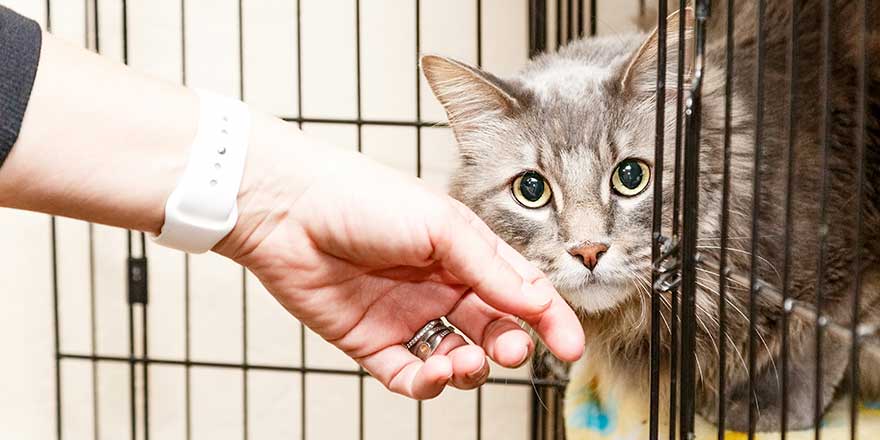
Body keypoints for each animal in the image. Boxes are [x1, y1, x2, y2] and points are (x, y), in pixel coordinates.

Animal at [420, 0, 880, 434]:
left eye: (631, 176)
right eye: (531, 189)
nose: (589, 251)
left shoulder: (845, 270)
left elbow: (813, 343)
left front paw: (762, 412)